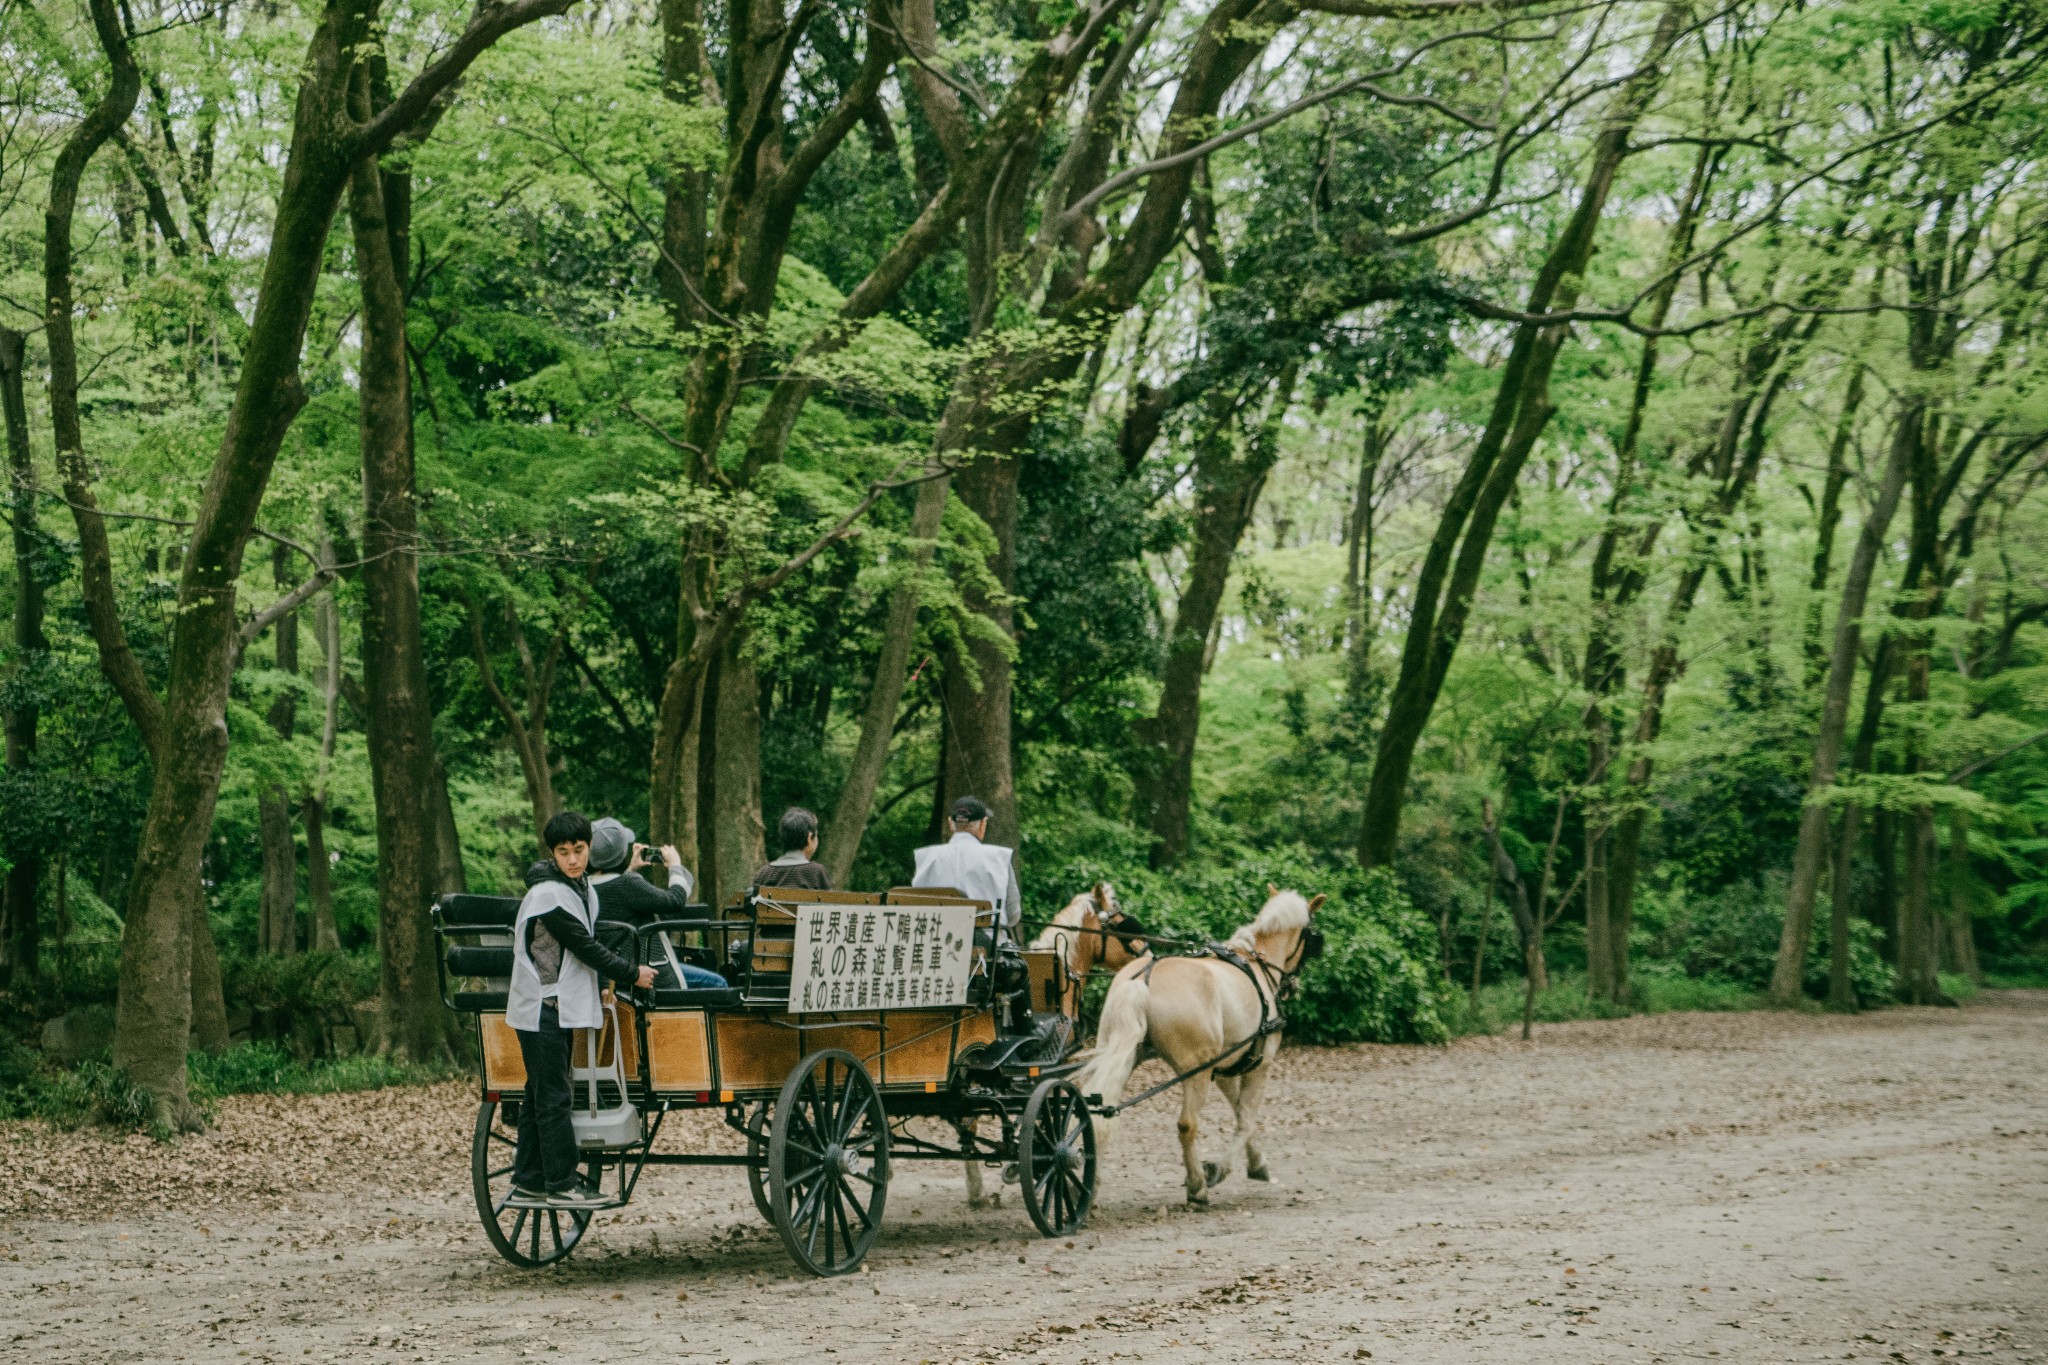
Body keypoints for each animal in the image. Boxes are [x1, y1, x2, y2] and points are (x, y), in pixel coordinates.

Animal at [1073, 892, 1327, 1203]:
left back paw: (1089, 1186)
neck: (1255, 963)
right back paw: (1197, 1187)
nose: (1293, 986)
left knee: (1098, 1111)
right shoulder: (1259, 1064)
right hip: (1196, 1071)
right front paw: (1219, 1169)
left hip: (1125, 1056)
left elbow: (1240, 1112)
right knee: (1187, 1125)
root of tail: (1145, 977)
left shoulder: (1224, 1068)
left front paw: (1257, 1162)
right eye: (1312, 937)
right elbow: (1247, 1119)